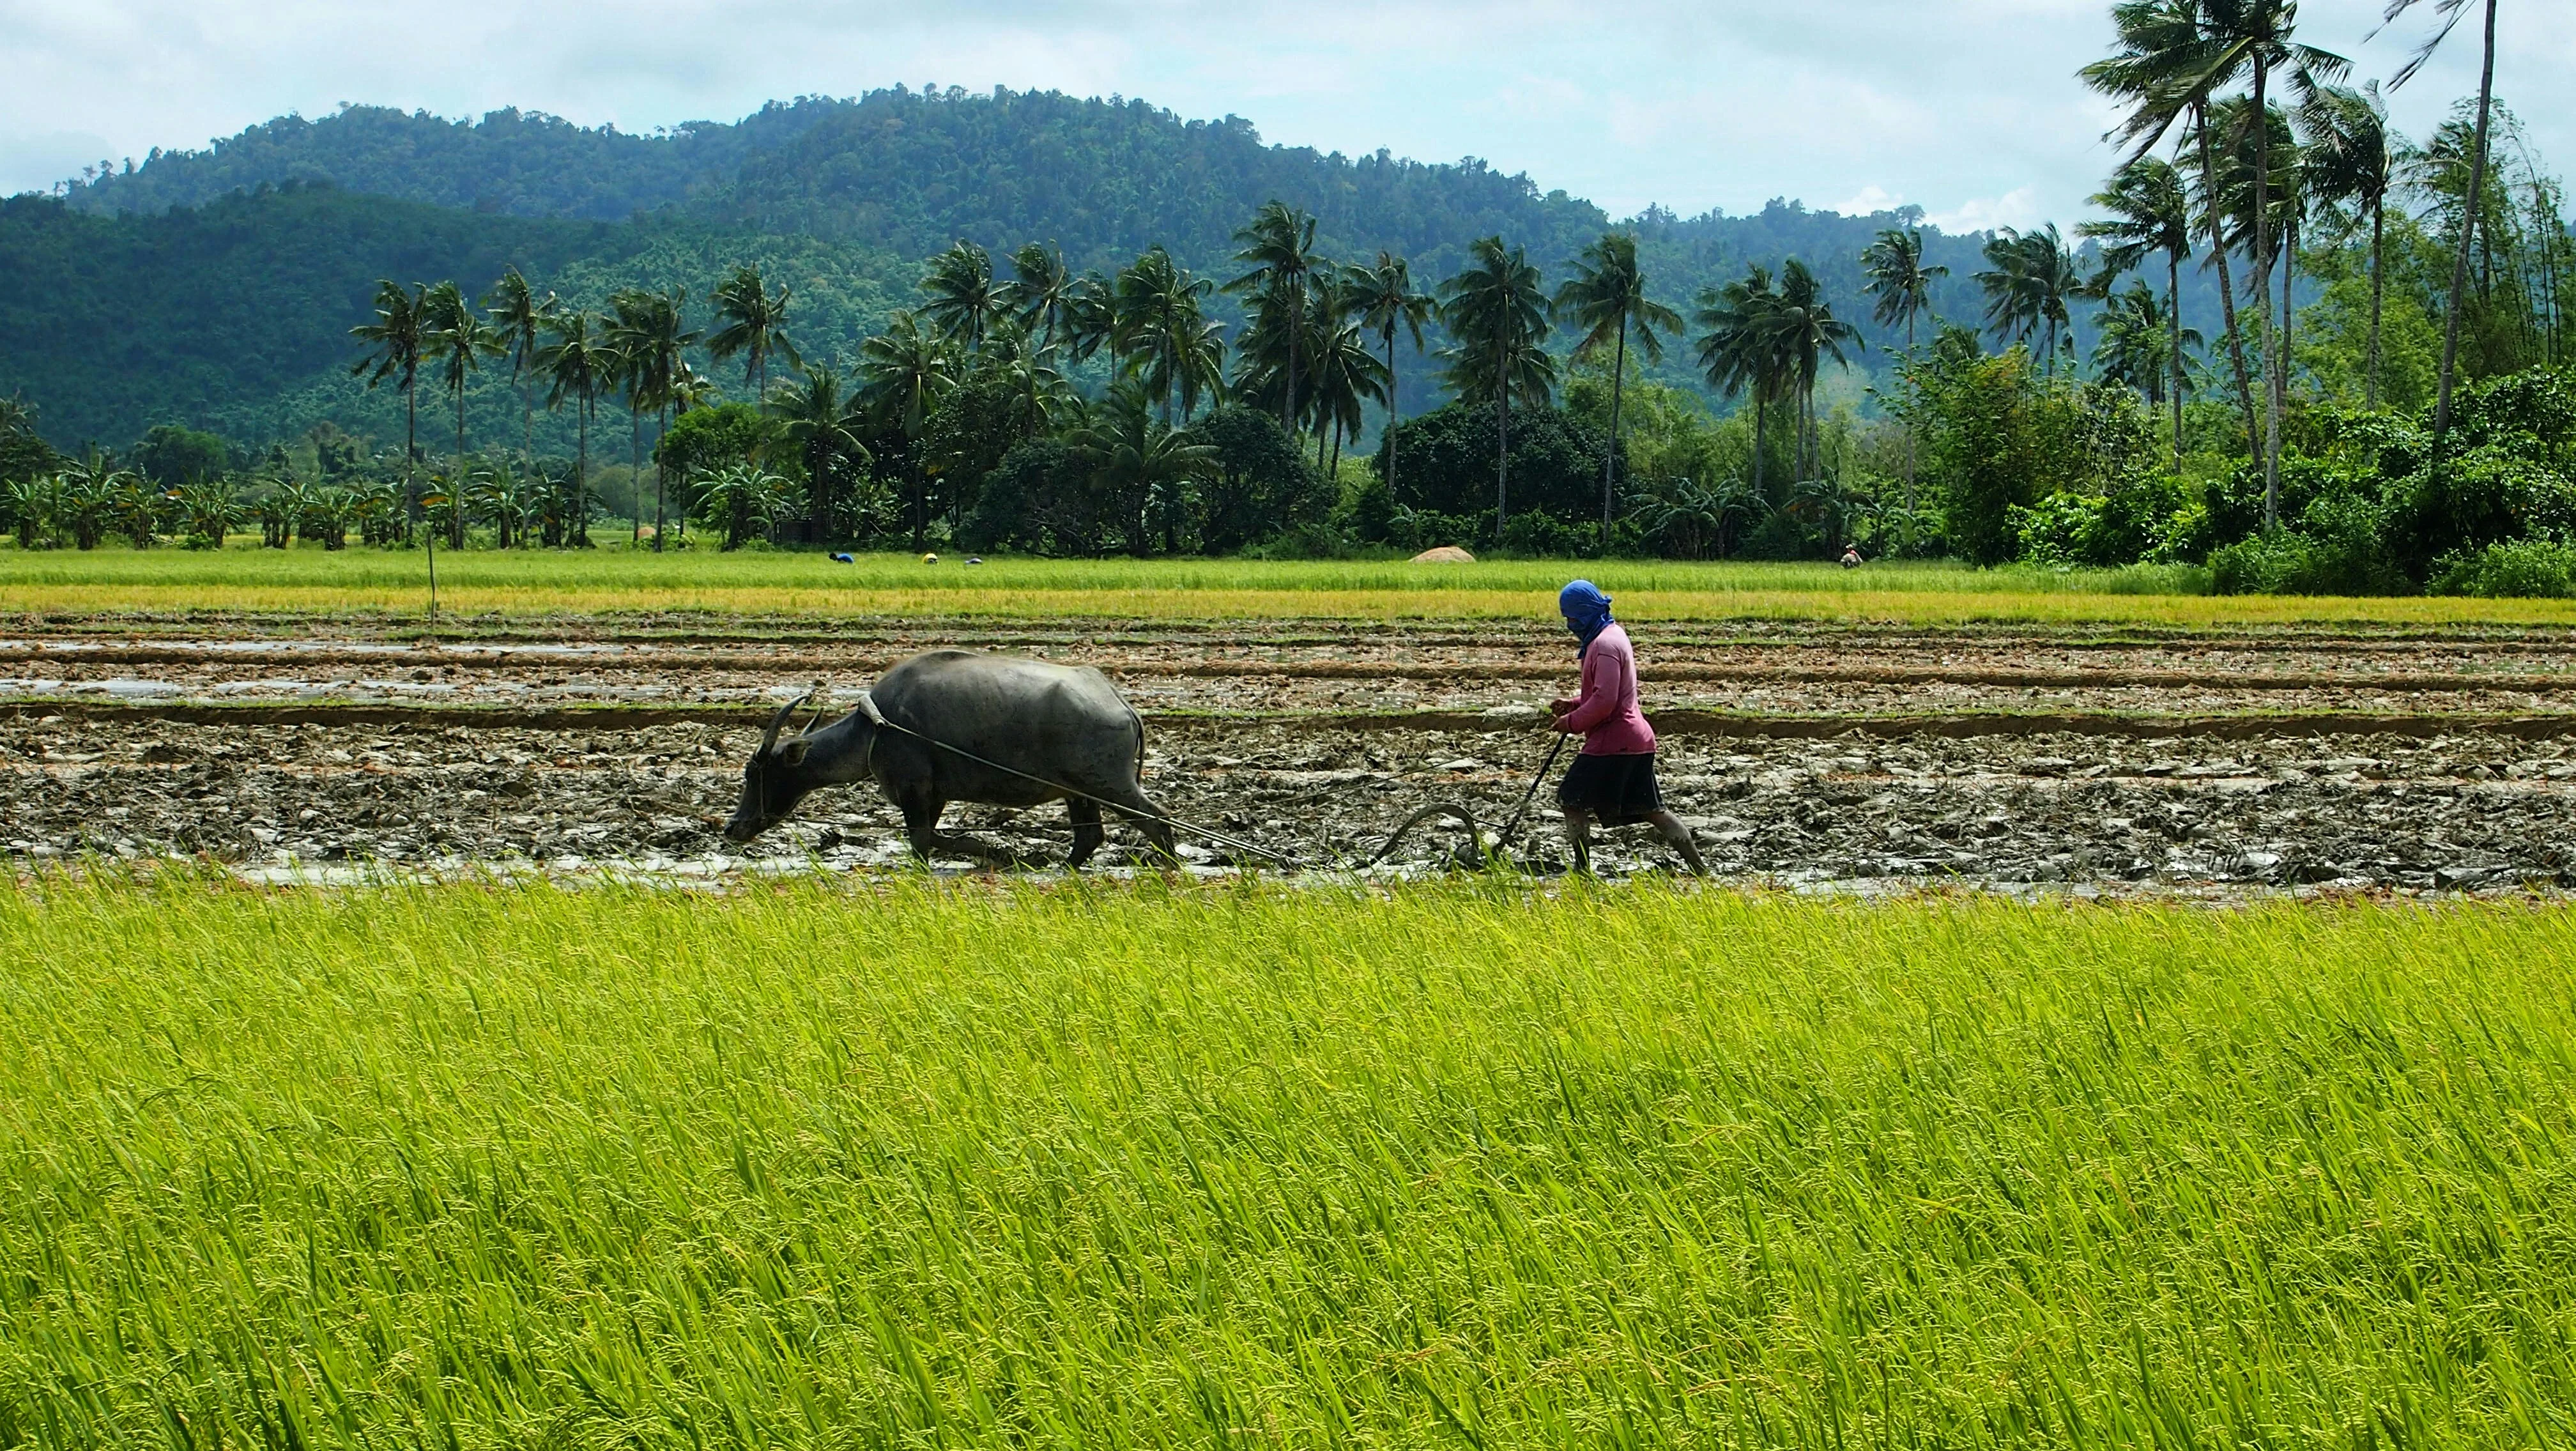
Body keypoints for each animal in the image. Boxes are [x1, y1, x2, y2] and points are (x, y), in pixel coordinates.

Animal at [716, 652, 1179, 871]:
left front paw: (996, 850)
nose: (732, 828)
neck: (876, 728)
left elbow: (924, 842)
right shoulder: (932, 796)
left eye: (757, 771)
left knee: (1157, 819)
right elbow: (932, 840)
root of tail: (1119, 702)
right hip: (1078, 791)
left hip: (1108, 783)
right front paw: (1002, 851)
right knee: (1089, 837)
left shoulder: (914, 792)